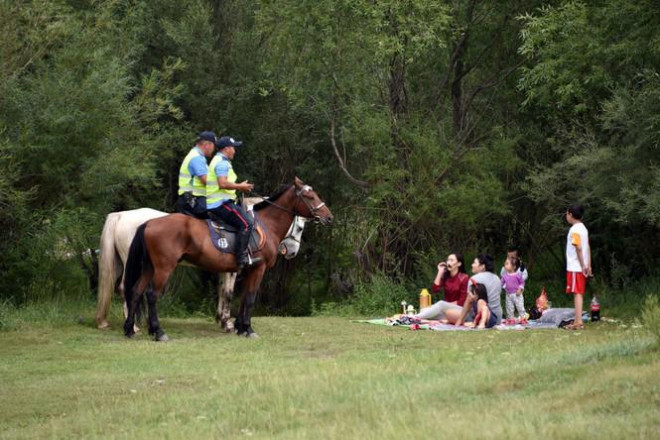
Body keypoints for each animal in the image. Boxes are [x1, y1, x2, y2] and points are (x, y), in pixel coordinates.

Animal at [122, 178, 336, 340]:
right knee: (151, 295)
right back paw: (158, 332)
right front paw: (248, 329)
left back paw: (130, 329)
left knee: (136, 292)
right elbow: (249, 298)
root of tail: (149, 222)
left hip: (149, 267)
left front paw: (241, 327)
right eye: (310, 196)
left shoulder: (248, 270)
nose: (329, 217)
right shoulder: (258, 269)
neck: (266, 225)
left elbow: (242, 298)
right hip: (163, 268)